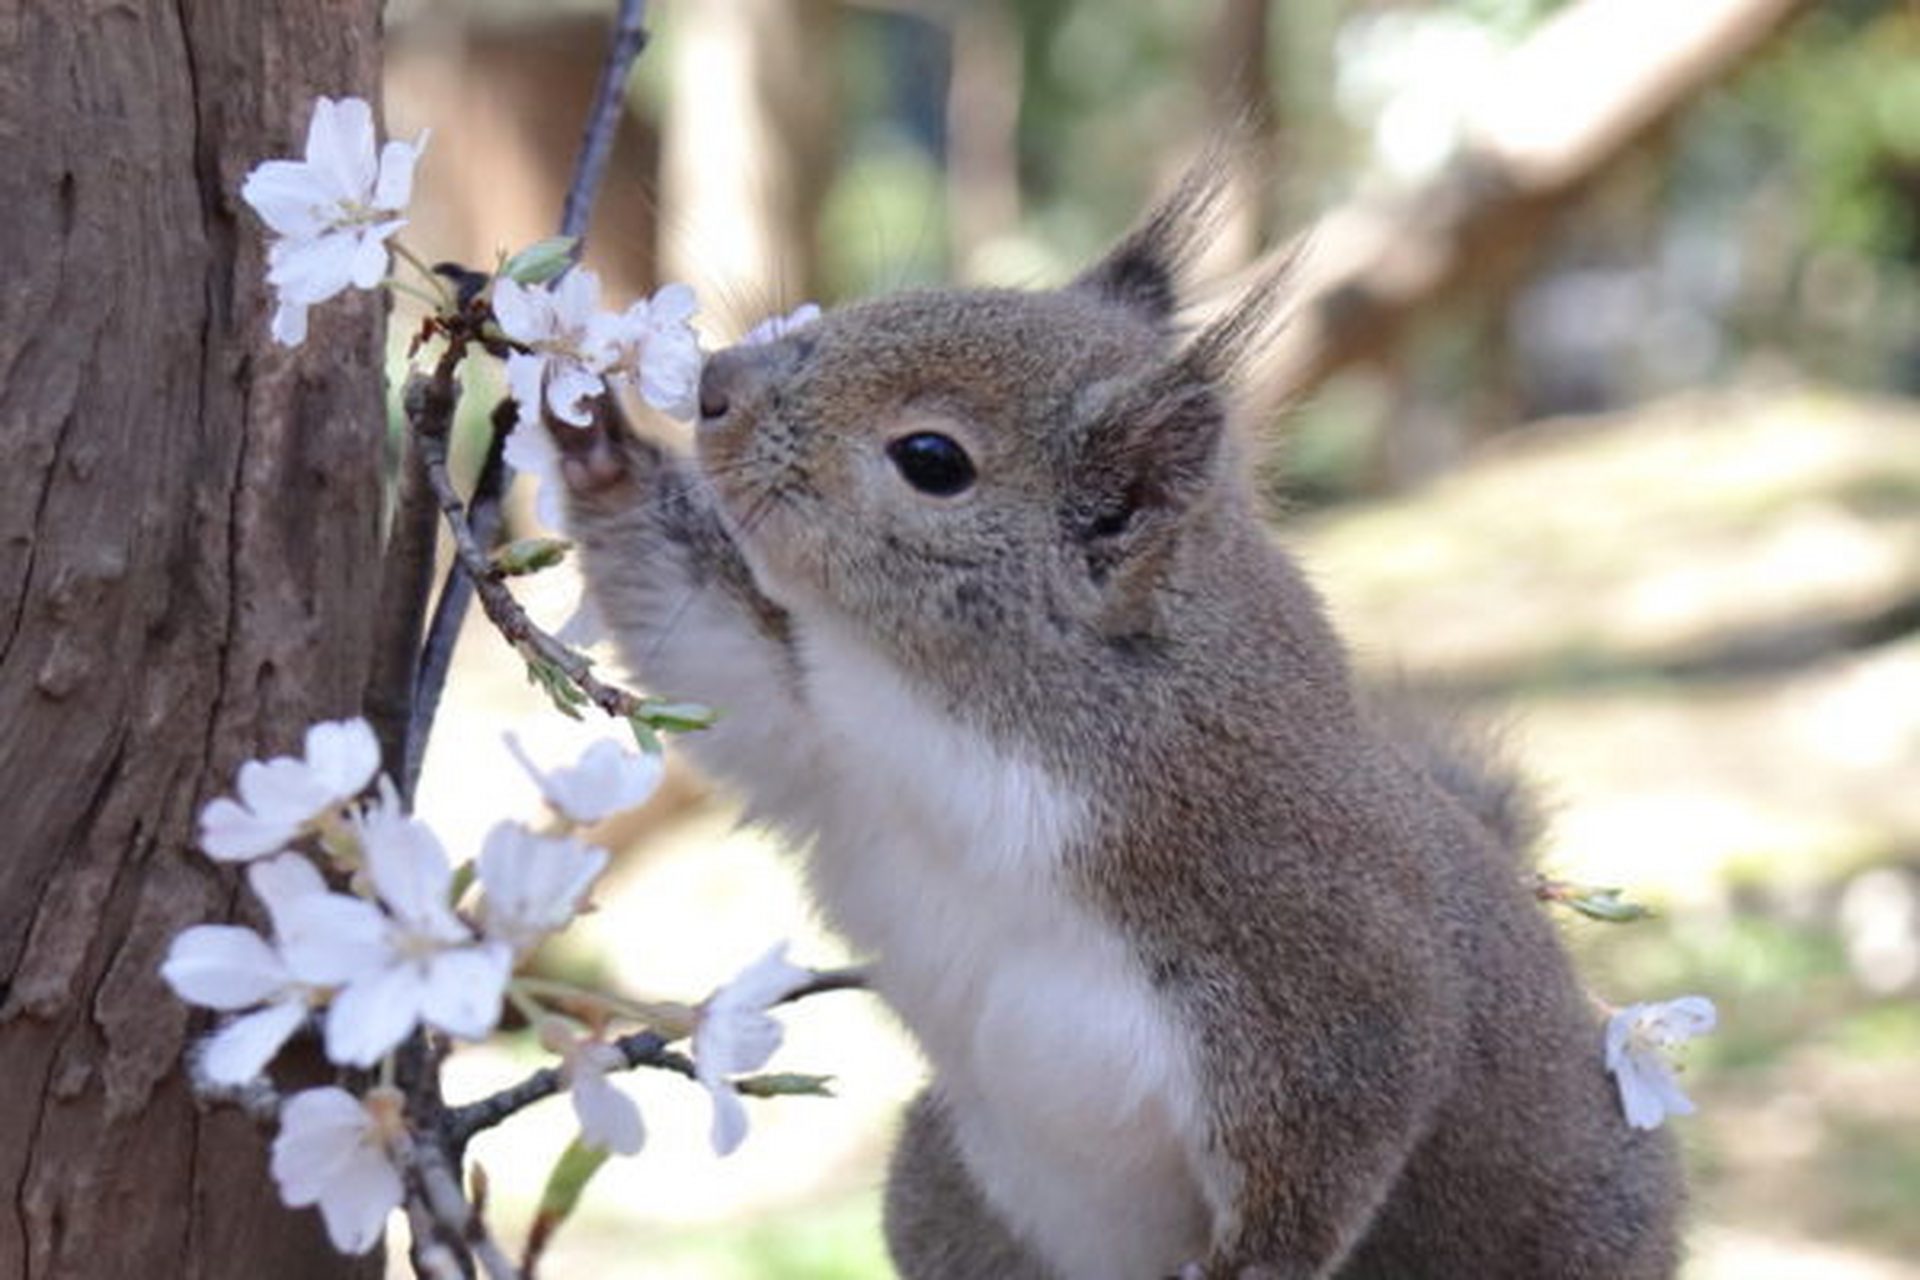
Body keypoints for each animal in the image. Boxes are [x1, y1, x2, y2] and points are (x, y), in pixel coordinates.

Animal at [552, 172, 1681, 1280]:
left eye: (931, 458)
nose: (715, 383)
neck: (976, 730)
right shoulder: (830, 751)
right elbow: (709, 649)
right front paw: (590, 436)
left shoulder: (1320, 947)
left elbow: (1331, 1140)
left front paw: (1249, 1265)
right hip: (942, 1190)